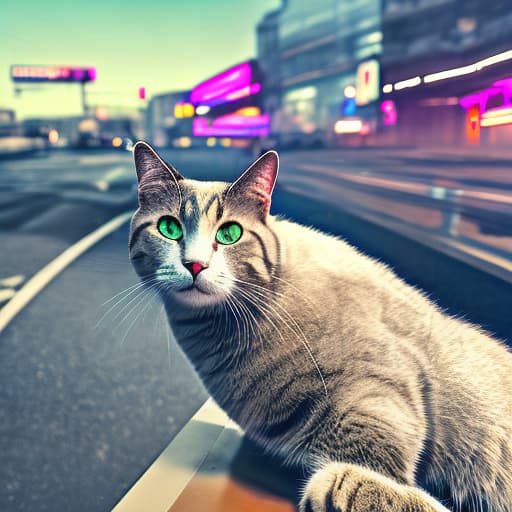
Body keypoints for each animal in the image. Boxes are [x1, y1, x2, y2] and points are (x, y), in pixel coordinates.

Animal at [128, 141, 512, 512]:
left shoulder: (379, 387)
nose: (195, 264)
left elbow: (392, 470)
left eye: (230, 233)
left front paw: (351, 486)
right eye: (169, 228)